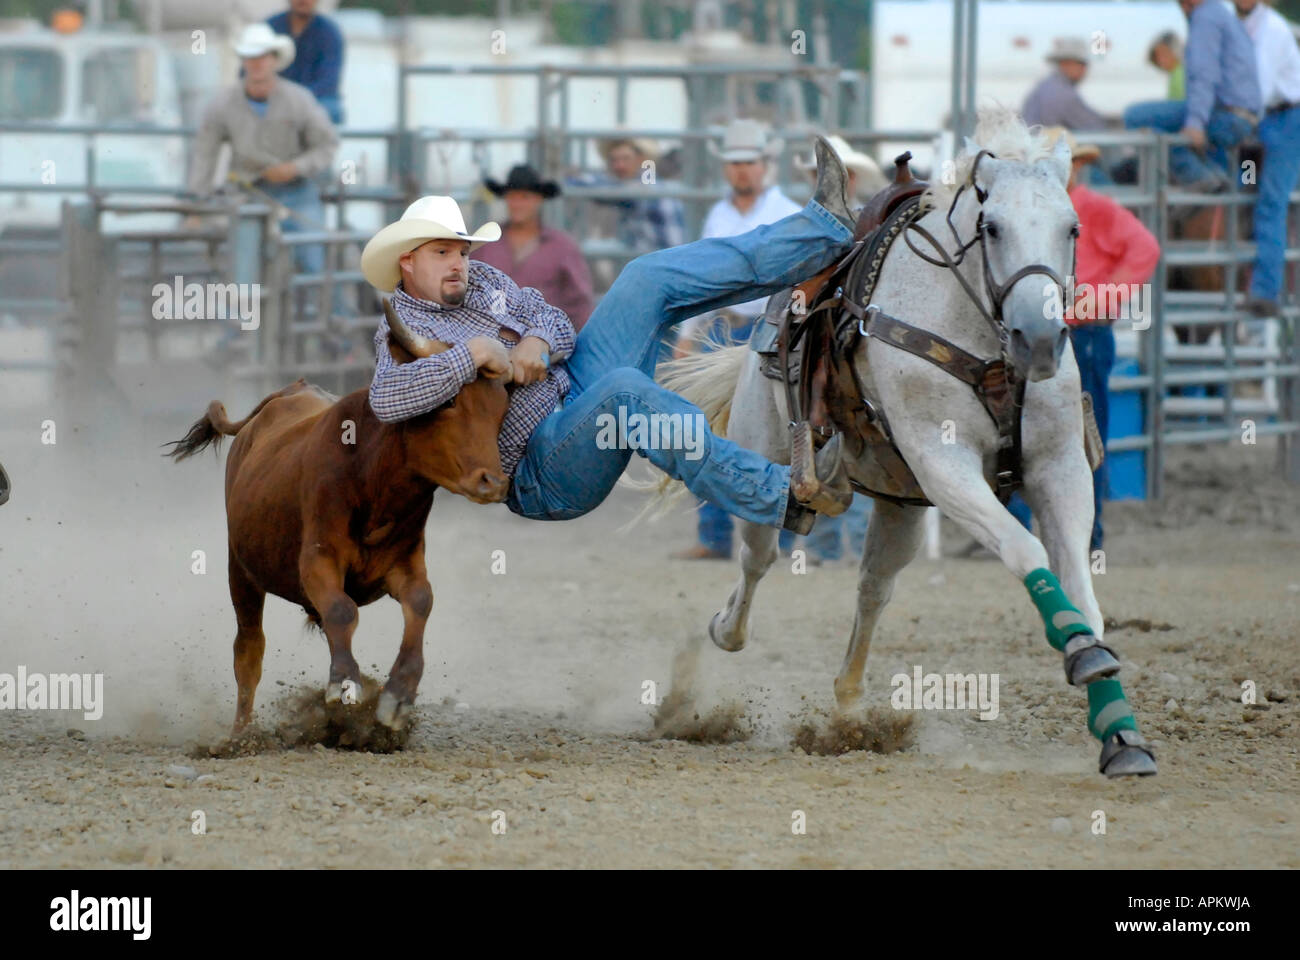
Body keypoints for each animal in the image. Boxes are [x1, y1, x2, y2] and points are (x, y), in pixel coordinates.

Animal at [166, 299, 510, 734]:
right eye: (448, 401)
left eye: (501, 410)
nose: (494, 482)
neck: (373, 477)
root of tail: (284, 393)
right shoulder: (316, 558)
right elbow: (342, 610)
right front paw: (344, 683)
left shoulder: (404, 562)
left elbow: (420, 601)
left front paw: (398, 695)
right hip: (240, 569)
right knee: (249, 650)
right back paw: (240, 734)